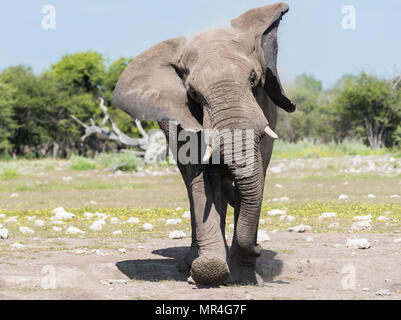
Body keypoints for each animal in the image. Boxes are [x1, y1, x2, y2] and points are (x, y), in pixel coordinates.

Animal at [112, 2, 294, 286]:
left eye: (254, 79)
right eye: (193, 93)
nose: (259, 248)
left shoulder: (264, 108)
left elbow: (257, 172)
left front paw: (244, 278)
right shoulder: (183, 117)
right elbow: (201, 179)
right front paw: (209, 269)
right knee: (193, 187)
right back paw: (192, 263)